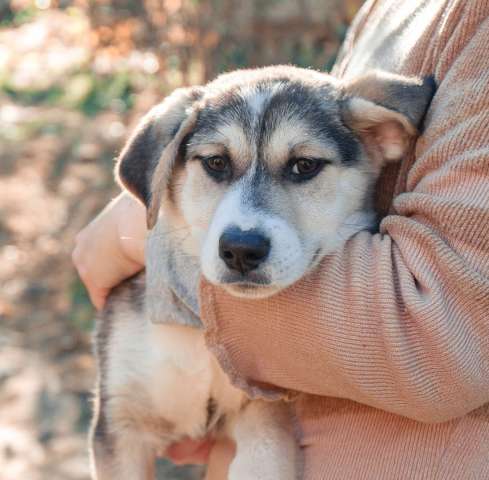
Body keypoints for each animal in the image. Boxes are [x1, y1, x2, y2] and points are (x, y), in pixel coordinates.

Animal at [89, 64, 432, 480]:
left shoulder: (265, 408)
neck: (199, 341)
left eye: (305, 165)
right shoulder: (121, 423)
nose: (241, 249)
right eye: (216, 162)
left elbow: (266, 455)